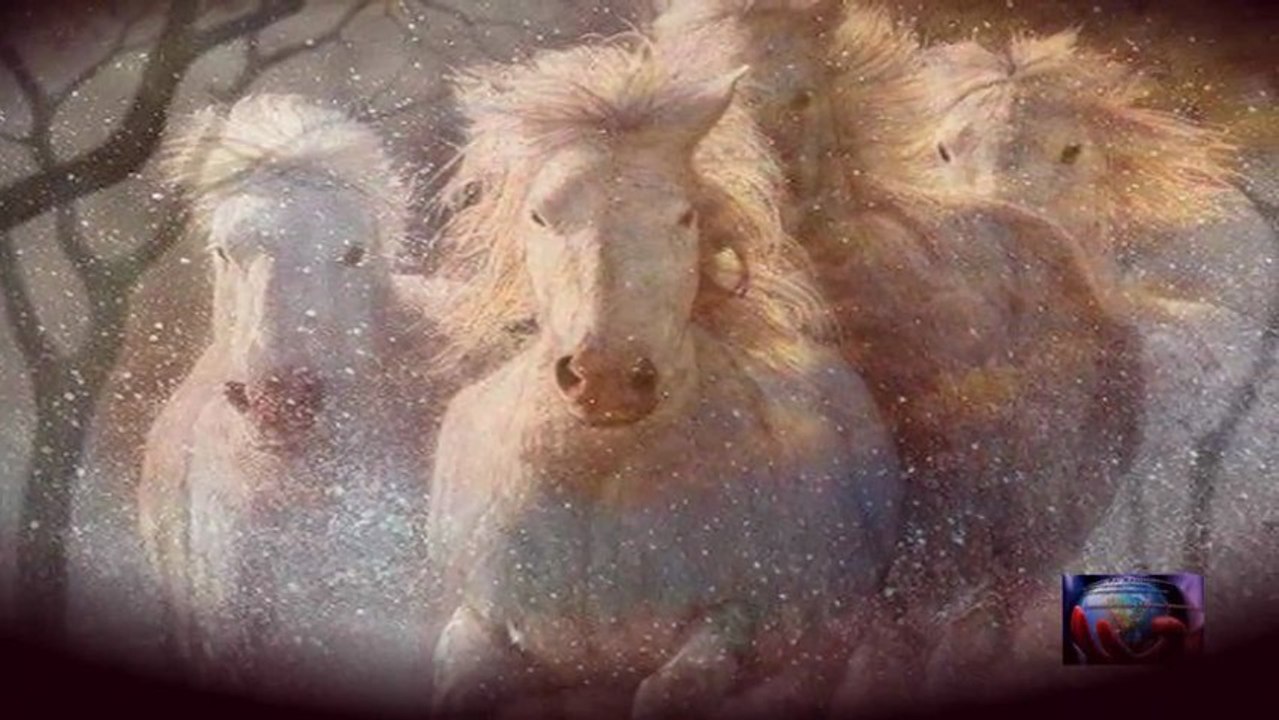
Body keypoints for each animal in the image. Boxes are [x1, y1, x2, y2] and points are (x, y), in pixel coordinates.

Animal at [424, 35, 902, 719]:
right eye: (540, 216)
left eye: (683, 217)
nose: (607, 378)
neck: (601, 479)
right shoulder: (480, 623)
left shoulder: (734, 623)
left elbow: (671, 688)